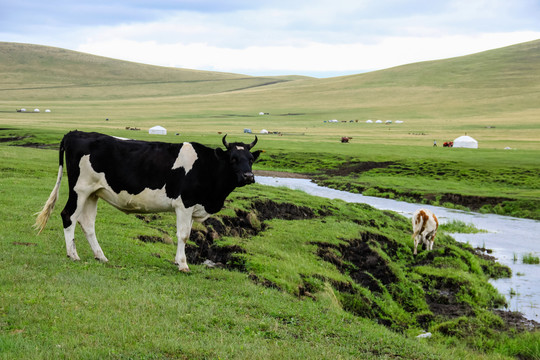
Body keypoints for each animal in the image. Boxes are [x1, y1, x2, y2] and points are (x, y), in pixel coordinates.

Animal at [34, 131, 262, 272]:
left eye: (251, 159)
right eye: (233, 159)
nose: (249, 176)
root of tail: (75, 133)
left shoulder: (192, 206)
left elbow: (187, 235)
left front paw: (178, 261)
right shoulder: (184, 204)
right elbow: (184, 235)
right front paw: (183, 264)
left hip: (93, 193)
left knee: (87, 223)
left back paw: (101, 256)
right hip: (80, 189)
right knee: (68, 216)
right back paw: (73, 255)